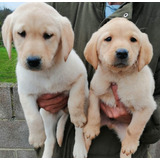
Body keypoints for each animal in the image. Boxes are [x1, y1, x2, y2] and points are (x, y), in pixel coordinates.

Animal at [1, 2, 88, 158]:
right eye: (21, 33)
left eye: (48, 35)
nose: (33, 61)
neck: (46, 72)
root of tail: (62, 113)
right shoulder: (25, 93)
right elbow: (32, 116)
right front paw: (36, 138)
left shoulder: (80, 77)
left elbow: (75, 101)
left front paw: (77, 116)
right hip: (46, 115)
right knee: (50, 138)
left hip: (87, 100)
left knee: (79, 130)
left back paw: (79, 148)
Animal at [83, 17, 157, 158]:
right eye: (108, 39)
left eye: (133, 39)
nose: (122, 53)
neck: (118, 77)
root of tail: (111, 124)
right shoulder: (94, 92)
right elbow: (93, 112)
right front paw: (91, 129)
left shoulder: (146, 107)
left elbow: (135, 128)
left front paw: (130, 144)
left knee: (124, 148)